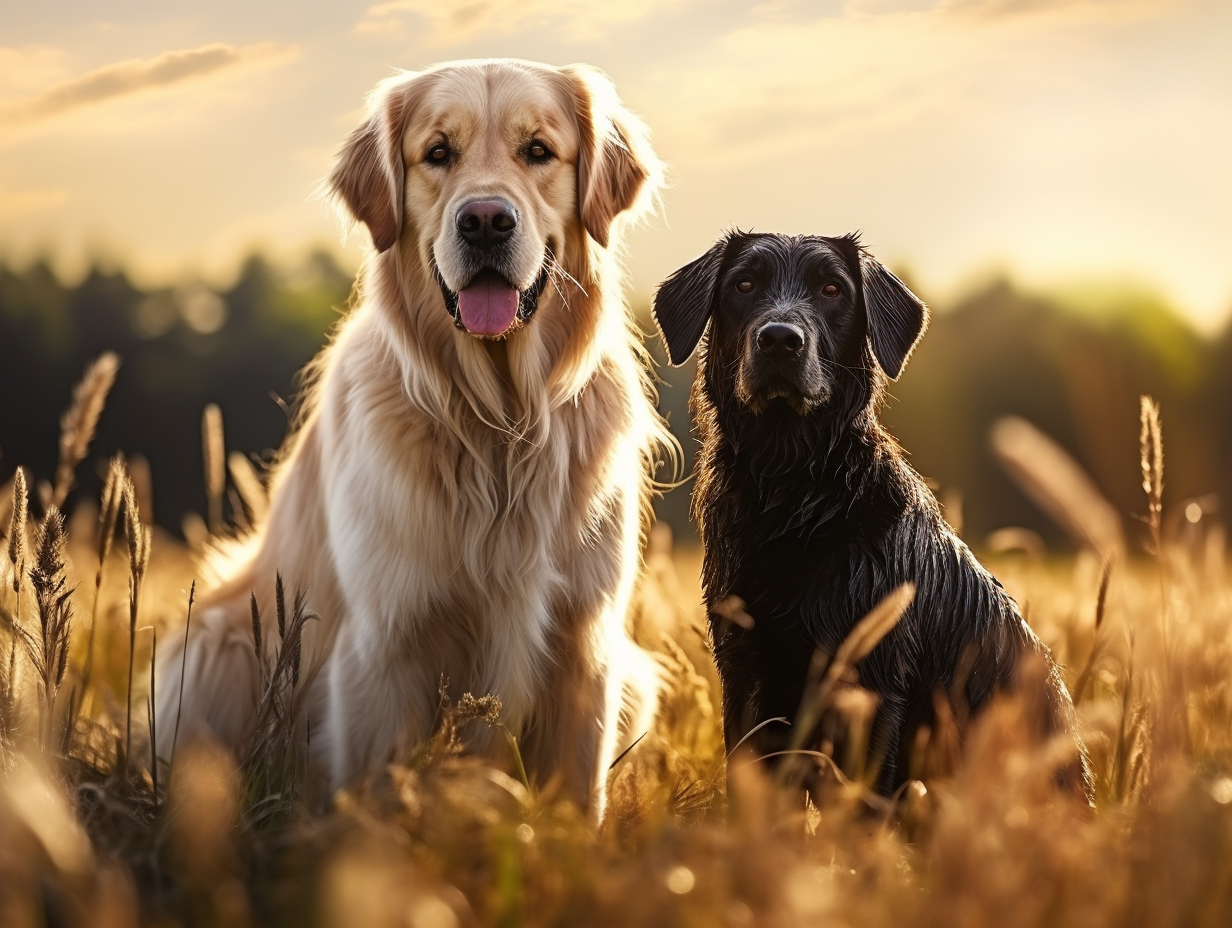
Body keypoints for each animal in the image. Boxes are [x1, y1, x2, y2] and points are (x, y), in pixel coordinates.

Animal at [655, 230, 1089, 798]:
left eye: (832, 289)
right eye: (744, 285)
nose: (779, 340)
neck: (792, 495)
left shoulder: (873, 689)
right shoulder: (744, 675)